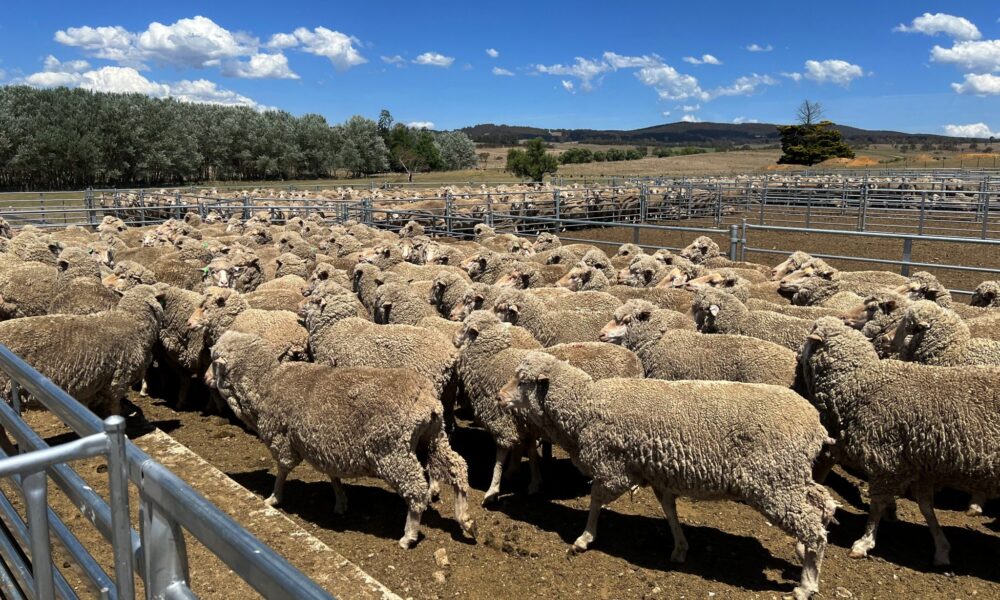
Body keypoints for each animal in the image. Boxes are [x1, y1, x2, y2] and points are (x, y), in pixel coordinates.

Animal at [207, 332, 476, 548]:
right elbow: (332, 475)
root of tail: (426, 400)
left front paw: (273, 498)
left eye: (212, 359)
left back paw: (408, 535)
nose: (206, 379)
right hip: (434, 437)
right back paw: (465, 518)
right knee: (457, 467)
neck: (266, 382)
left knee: (416, 489)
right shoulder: (326, 446)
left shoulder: (281, 440)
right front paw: (340, 503)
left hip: (391, 450)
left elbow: (282, 470)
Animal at [500, 352, 836, 600]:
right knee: (824, 504)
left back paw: (806, 584)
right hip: (790, 476)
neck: (585, 406)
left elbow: (595, 501)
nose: (499, 398)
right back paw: (803, 553)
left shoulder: (613, 468)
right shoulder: (657, 472)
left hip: (773, 482)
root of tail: (816, 426)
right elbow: (668, 509)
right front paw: (680, 548)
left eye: (523, 381)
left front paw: (584, 539)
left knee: (813, 527)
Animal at [796, 318, 1000, 568]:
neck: (860, 383)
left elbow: (877, 505)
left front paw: (863, 543)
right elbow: (926, 508)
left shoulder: (885, 460)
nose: (797, 355)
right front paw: (942, 548)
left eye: (810, 335)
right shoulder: (921, 466)